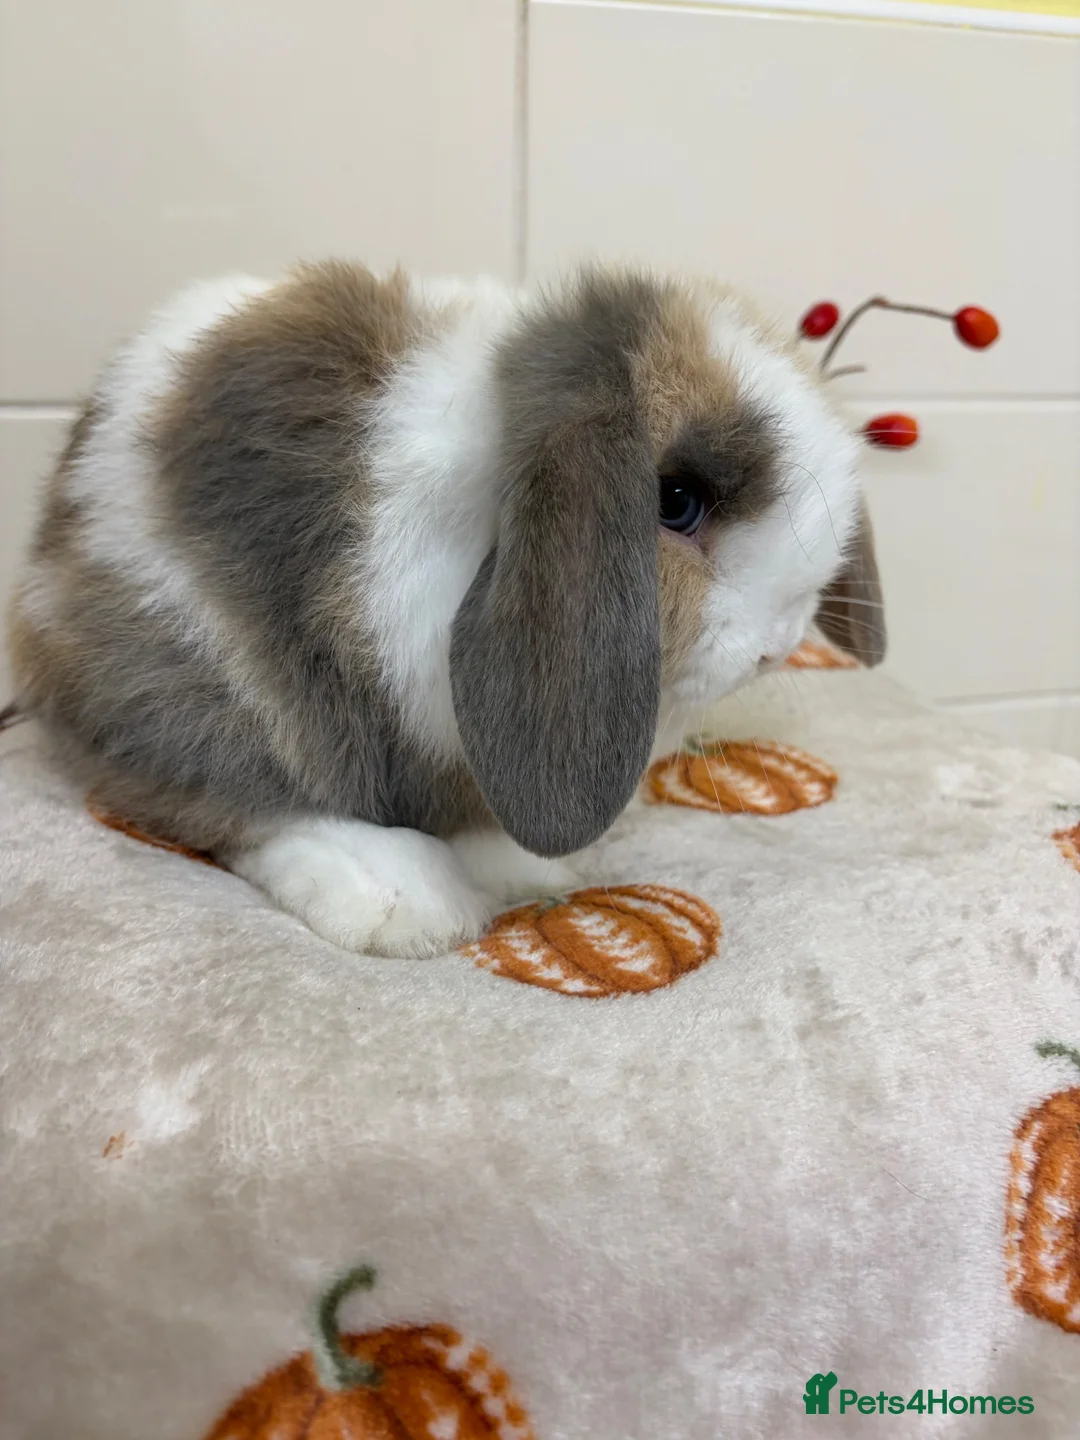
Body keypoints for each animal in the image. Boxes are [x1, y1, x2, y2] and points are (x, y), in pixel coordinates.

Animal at [7, 261, 885, 957]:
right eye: (675, 500)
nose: (780, 643)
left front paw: (530, 866)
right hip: (188, 668)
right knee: (230, 793)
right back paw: (400, 902)